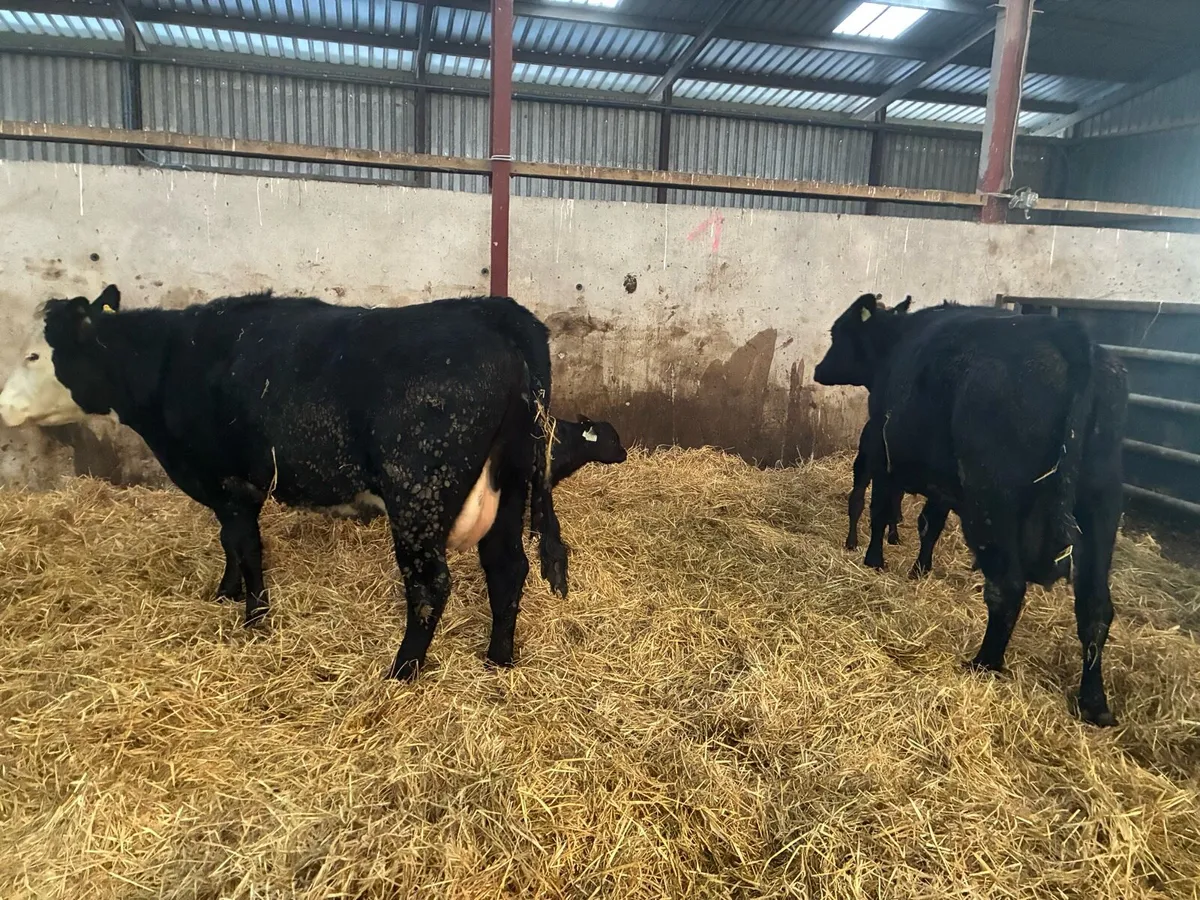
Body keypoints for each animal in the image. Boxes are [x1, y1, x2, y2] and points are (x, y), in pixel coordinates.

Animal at [0, 286, 572, 681]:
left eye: (34, 355)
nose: (3, 406)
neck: (171, 361)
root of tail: (494, 313)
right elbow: (231, 543)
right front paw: (226, 594)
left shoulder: (227, 480)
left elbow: (247, 546)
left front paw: (254, 619)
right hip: (508, 484)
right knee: (507, 567)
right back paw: (498, 660)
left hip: (419, 495)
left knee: (431, 584)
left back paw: (401, 672)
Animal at [814, 292, 1127, 726]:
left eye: (837, 333)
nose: (818, 369)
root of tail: (1069, 334)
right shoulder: (942, 485)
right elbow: (929, 525)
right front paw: (919, 570)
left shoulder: (886, 454)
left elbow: (881, 511)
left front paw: (874, 560)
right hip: (1102, 503)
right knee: (1095, 606)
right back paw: (1093, 703)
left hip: (992, 498)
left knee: (1008, 588)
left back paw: (984, 663)